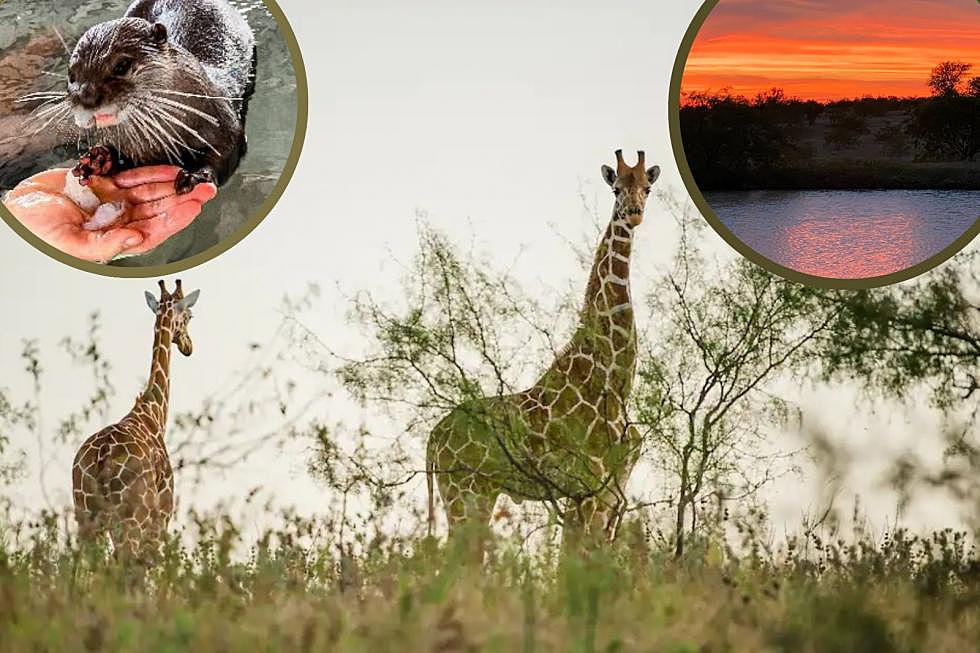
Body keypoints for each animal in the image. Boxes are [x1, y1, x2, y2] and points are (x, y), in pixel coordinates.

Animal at [67, 0, 257, 195]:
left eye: (122, 66)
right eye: (72, 76)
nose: (87, 97)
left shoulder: (224, 121)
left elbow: (227, 151)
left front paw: (195, 175)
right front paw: (99, 159)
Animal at [72, 279, 200, 560]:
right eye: (189, 316)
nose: (188, 346)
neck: (153, 412)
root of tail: (102, 457)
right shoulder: (163, 511)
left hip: (86, 515)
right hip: (131, 517)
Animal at [426, 149, 660, 550]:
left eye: (648, 187)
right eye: (616, 188)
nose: (634, 213)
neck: (614, 378)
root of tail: (432, 438)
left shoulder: (611, 488)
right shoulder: (590, 484)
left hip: (477, 493)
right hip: (463, 490)